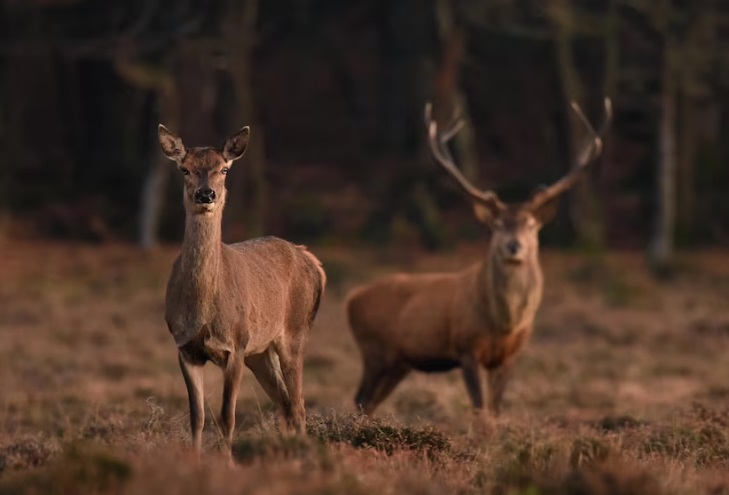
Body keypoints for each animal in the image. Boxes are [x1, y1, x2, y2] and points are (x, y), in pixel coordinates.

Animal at [160, 124, 328, 458]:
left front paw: (228, 462)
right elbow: (197, 417)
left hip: (295, 333)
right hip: (260, 351)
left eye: (224, 169)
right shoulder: (185, 347)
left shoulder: (235, 345)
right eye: (185, 168)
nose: (206, 194)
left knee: (298, 404)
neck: (203, 310)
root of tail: (312, 261)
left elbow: (227, 416)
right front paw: (195, 461)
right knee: (284, 403)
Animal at [344, 97, 612, 418]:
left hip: (399, 361)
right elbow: (479, 408)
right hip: (374, 349)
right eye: (497, 225)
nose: (513, 246)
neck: (504, 324)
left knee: (369, 401)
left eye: (530, 224)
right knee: (360, 397)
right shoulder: (466, 347)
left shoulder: (510, 356)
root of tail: (351, 299)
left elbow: (494, 410)